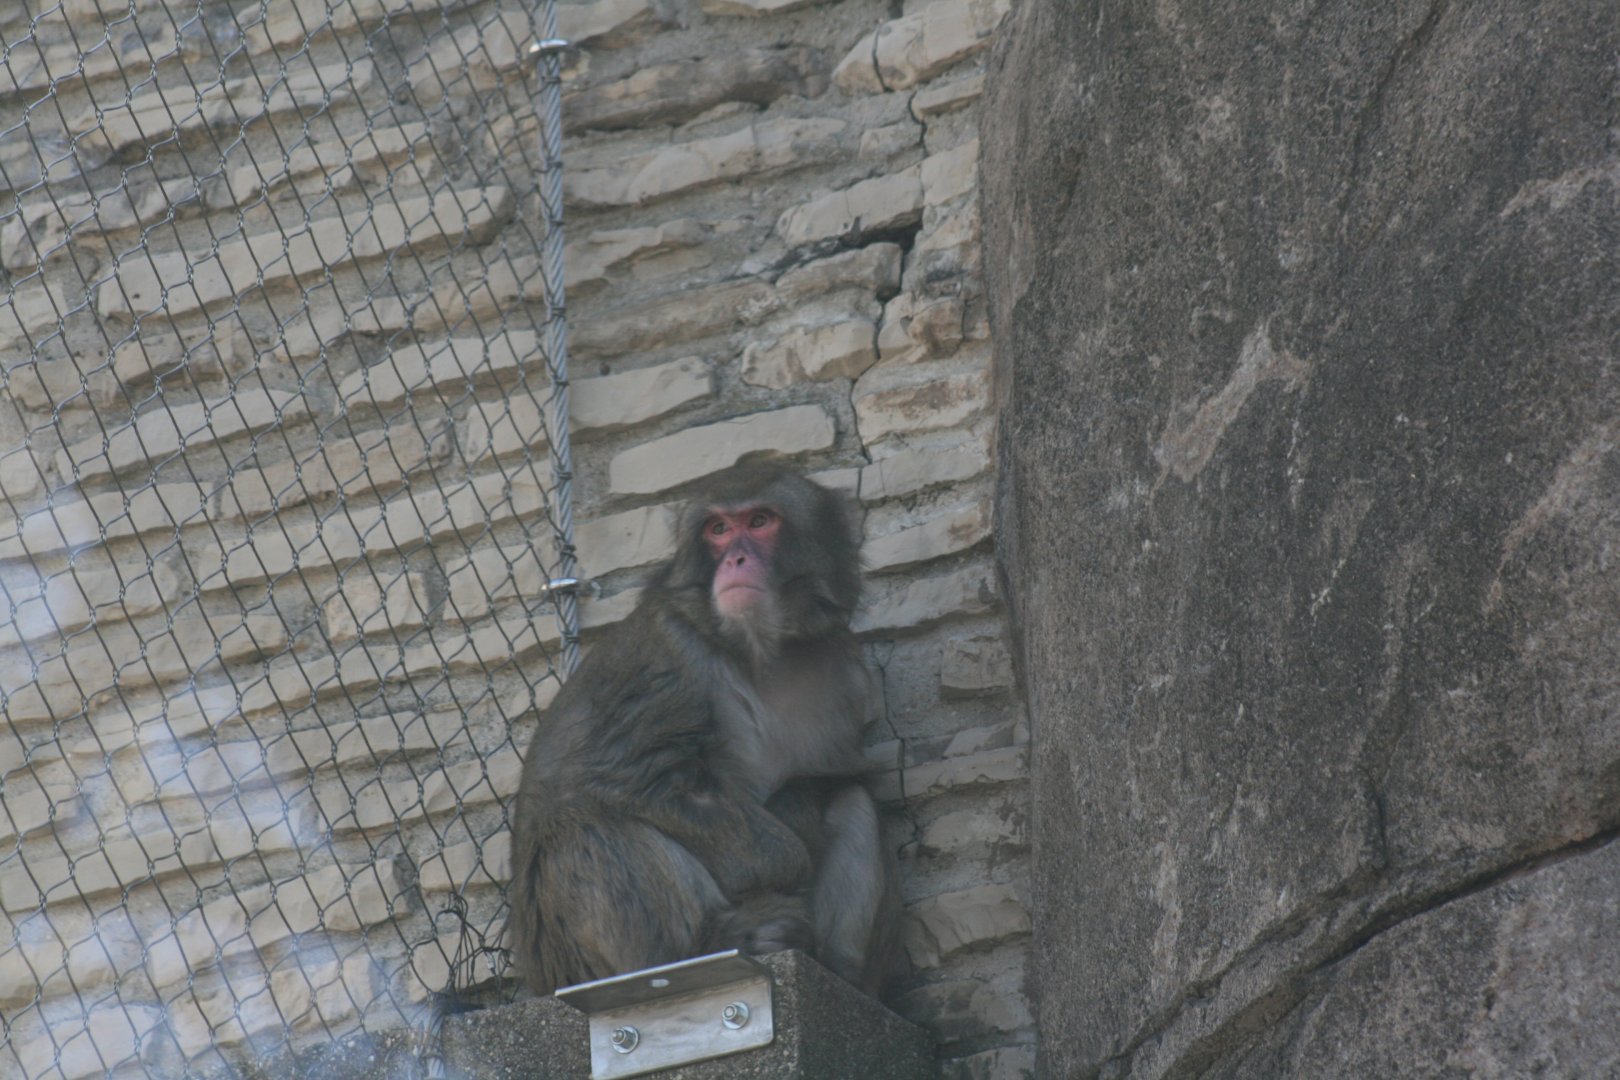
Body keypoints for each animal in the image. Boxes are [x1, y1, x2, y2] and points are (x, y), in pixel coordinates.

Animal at [506, 462, 899, 997]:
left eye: (759, 521)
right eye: (718, 529)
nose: (735, 558)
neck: (758, 651)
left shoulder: (843, 672)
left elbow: (833, 777)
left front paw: (798, 809)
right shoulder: (666, 657)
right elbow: (625, 777)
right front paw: (787, 858)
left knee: (853, 800)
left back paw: (840, 971)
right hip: (571, 958)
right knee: (578, 820)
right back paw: (714, 942)